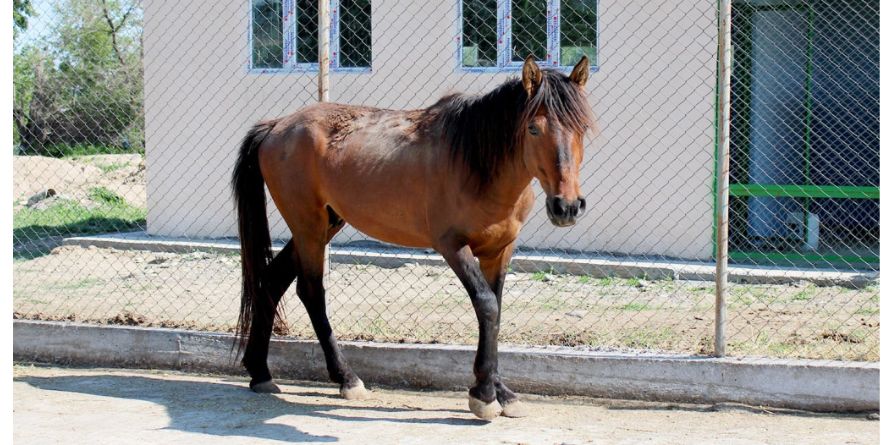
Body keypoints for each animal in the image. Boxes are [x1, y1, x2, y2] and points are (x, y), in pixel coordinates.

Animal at [234, 55, 596, 420]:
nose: (567, 206)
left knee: (272, 280)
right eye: (533, 128)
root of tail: (277, 126)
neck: (477, 165)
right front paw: (483, 395)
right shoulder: (452, 246)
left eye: (581, 129)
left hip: (325, 224)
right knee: (311, 292)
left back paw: (260, 373)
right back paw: (347, 378)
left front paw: (502, 393)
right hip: (308, 225)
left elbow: (495, 312)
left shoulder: (499, 251)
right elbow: (486, 305)